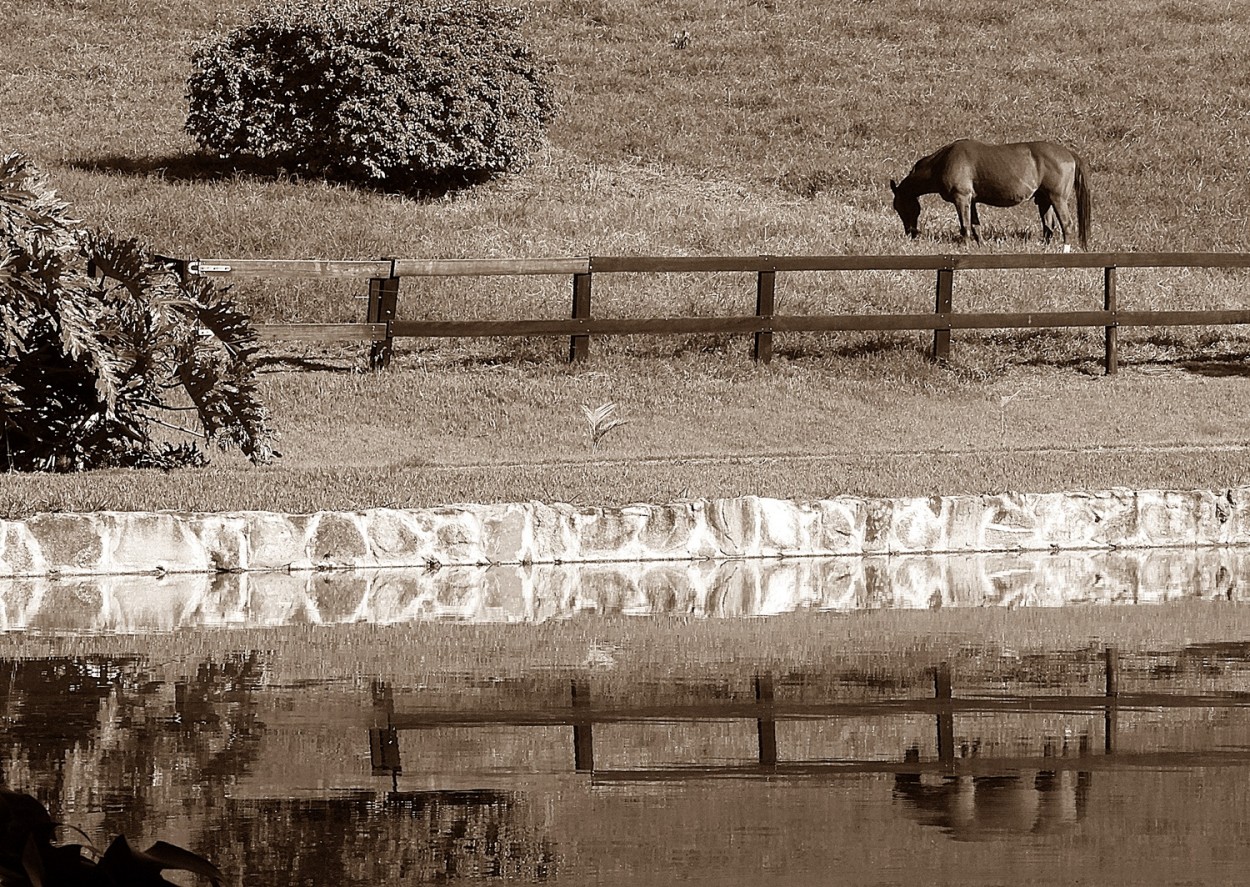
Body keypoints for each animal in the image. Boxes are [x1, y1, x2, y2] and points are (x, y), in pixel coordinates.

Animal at [895, 138, 1090, 249]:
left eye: (900, 207)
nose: (911, 233)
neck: (943, 161)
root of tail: (1068, 153)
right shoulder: (971, 201)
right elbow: (975, 225)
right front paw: (981, 246)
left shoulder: (961, 198)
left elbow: (965, 226)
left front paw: (965, 247)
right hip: (1044, 201)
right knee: (1048, 228)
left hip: (1057, 199)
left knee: (1066, 225)